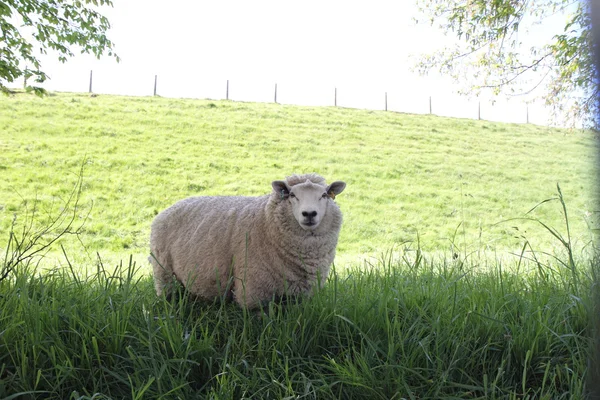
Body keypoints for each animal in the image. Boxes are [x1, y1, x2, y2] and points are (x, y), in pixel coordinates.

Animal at [149, 173, 346, 310]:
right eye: (291, 195)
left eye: (324, 195)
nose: (309, 214)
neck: (266, 221)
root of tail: (168, 208)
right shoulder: (253, 291)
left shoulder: (301, 293)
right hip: (163, 270)